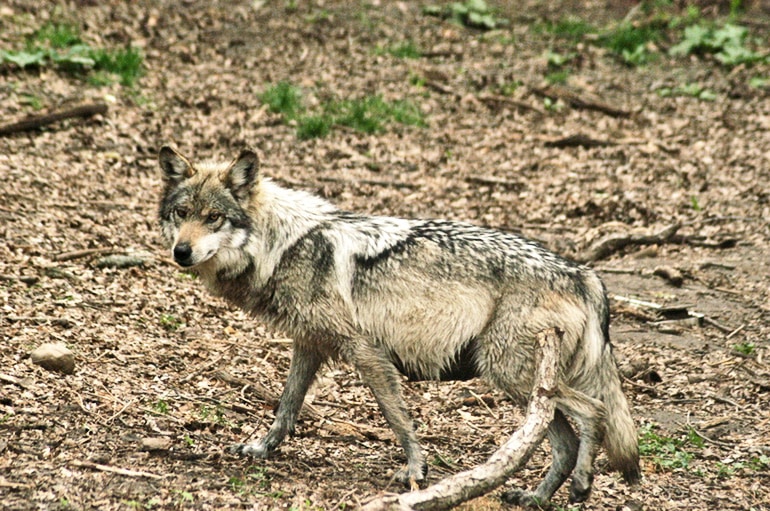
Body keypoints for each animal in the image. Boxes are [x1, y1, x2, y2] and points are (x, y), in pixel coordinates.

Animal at [158, 146, 640, 506]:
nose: (182, 252)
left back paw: (581, 485)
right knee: (564, 442)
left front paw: (415, 471)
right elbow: (286, 406)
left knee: (593, 413)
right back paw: (537, 498)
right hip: (523, 384)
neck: (282, 246)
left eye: (214, 217)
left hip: (510, 374)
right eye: (181, 213)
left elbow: (396, 418)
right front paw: (262, 448)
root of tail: (583, 274)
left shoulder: (366, 352)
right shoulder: (309, 345)